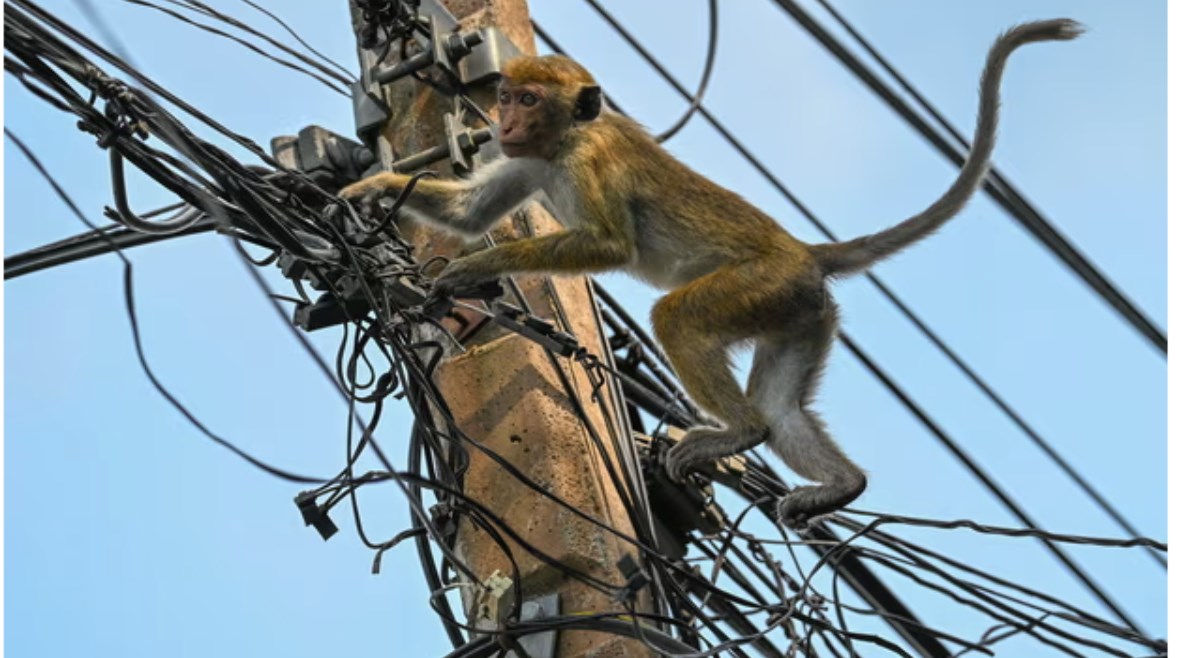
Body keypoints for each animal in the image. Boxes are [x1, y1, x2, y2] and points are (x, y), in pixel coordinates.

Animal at [341, 18, 1082, 527]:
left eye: (527, 99)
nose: (504, 118)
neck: (566, 139)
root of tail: (803, 251)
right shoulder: (526, 159)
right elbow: (470, 211)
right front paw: (368, 189)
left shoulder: (587, 161)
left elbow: (607, 245)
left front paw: (473, 267)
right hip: (801, 312)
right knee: (783, 410)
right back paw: (839, 484)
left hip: (760, 285)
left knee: (679, 320)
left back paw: (739, 433)